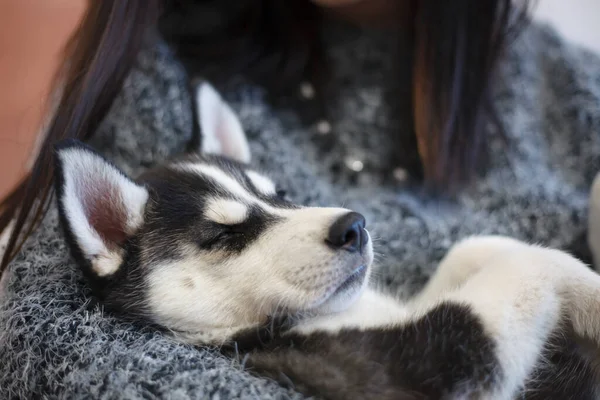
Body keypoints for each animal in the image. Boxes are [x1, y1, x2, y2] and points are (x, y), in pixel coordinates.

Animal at [55, 83, 600, 398]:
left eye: (280, 195)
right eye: (224, 234)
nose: (354, 226)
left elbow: (474, 248)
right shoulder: (431, 360)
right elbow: (529, 265)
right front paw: (593, 299)